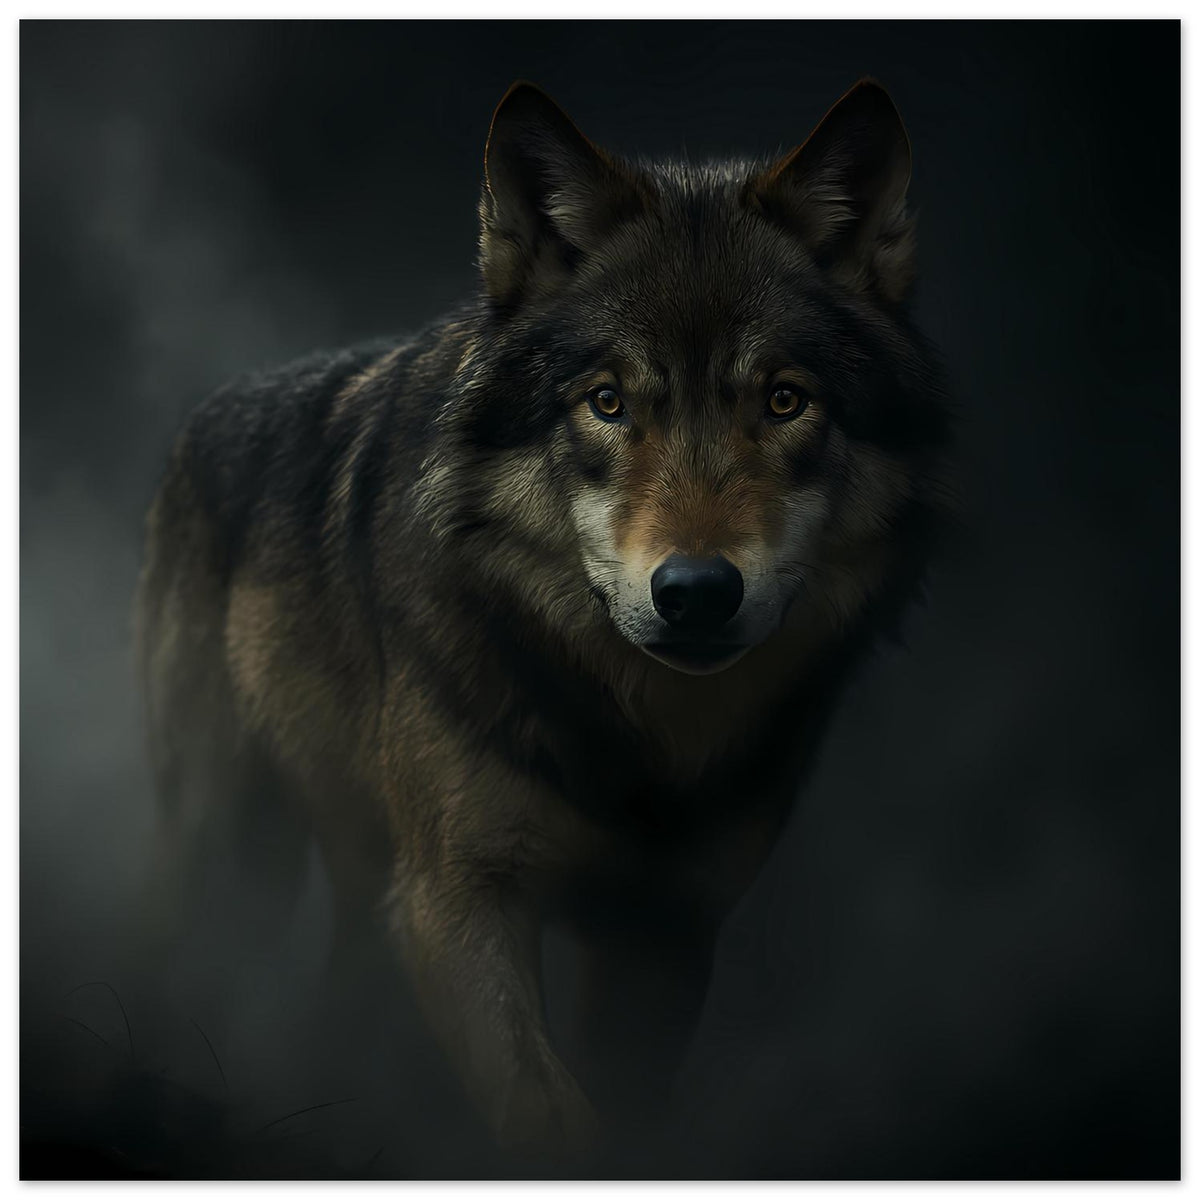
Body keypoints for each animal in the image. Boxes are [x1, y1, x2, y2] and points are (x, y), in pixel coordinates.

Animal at [136, 78, 951, 1159]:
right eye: (606, 402)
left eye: (784, 402)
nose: (697, 590)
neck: (635, 738)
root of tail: (205, 412)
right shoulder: (455, 900)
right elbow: (545, 1111)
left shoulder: (665, 935)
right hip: (227, 844)